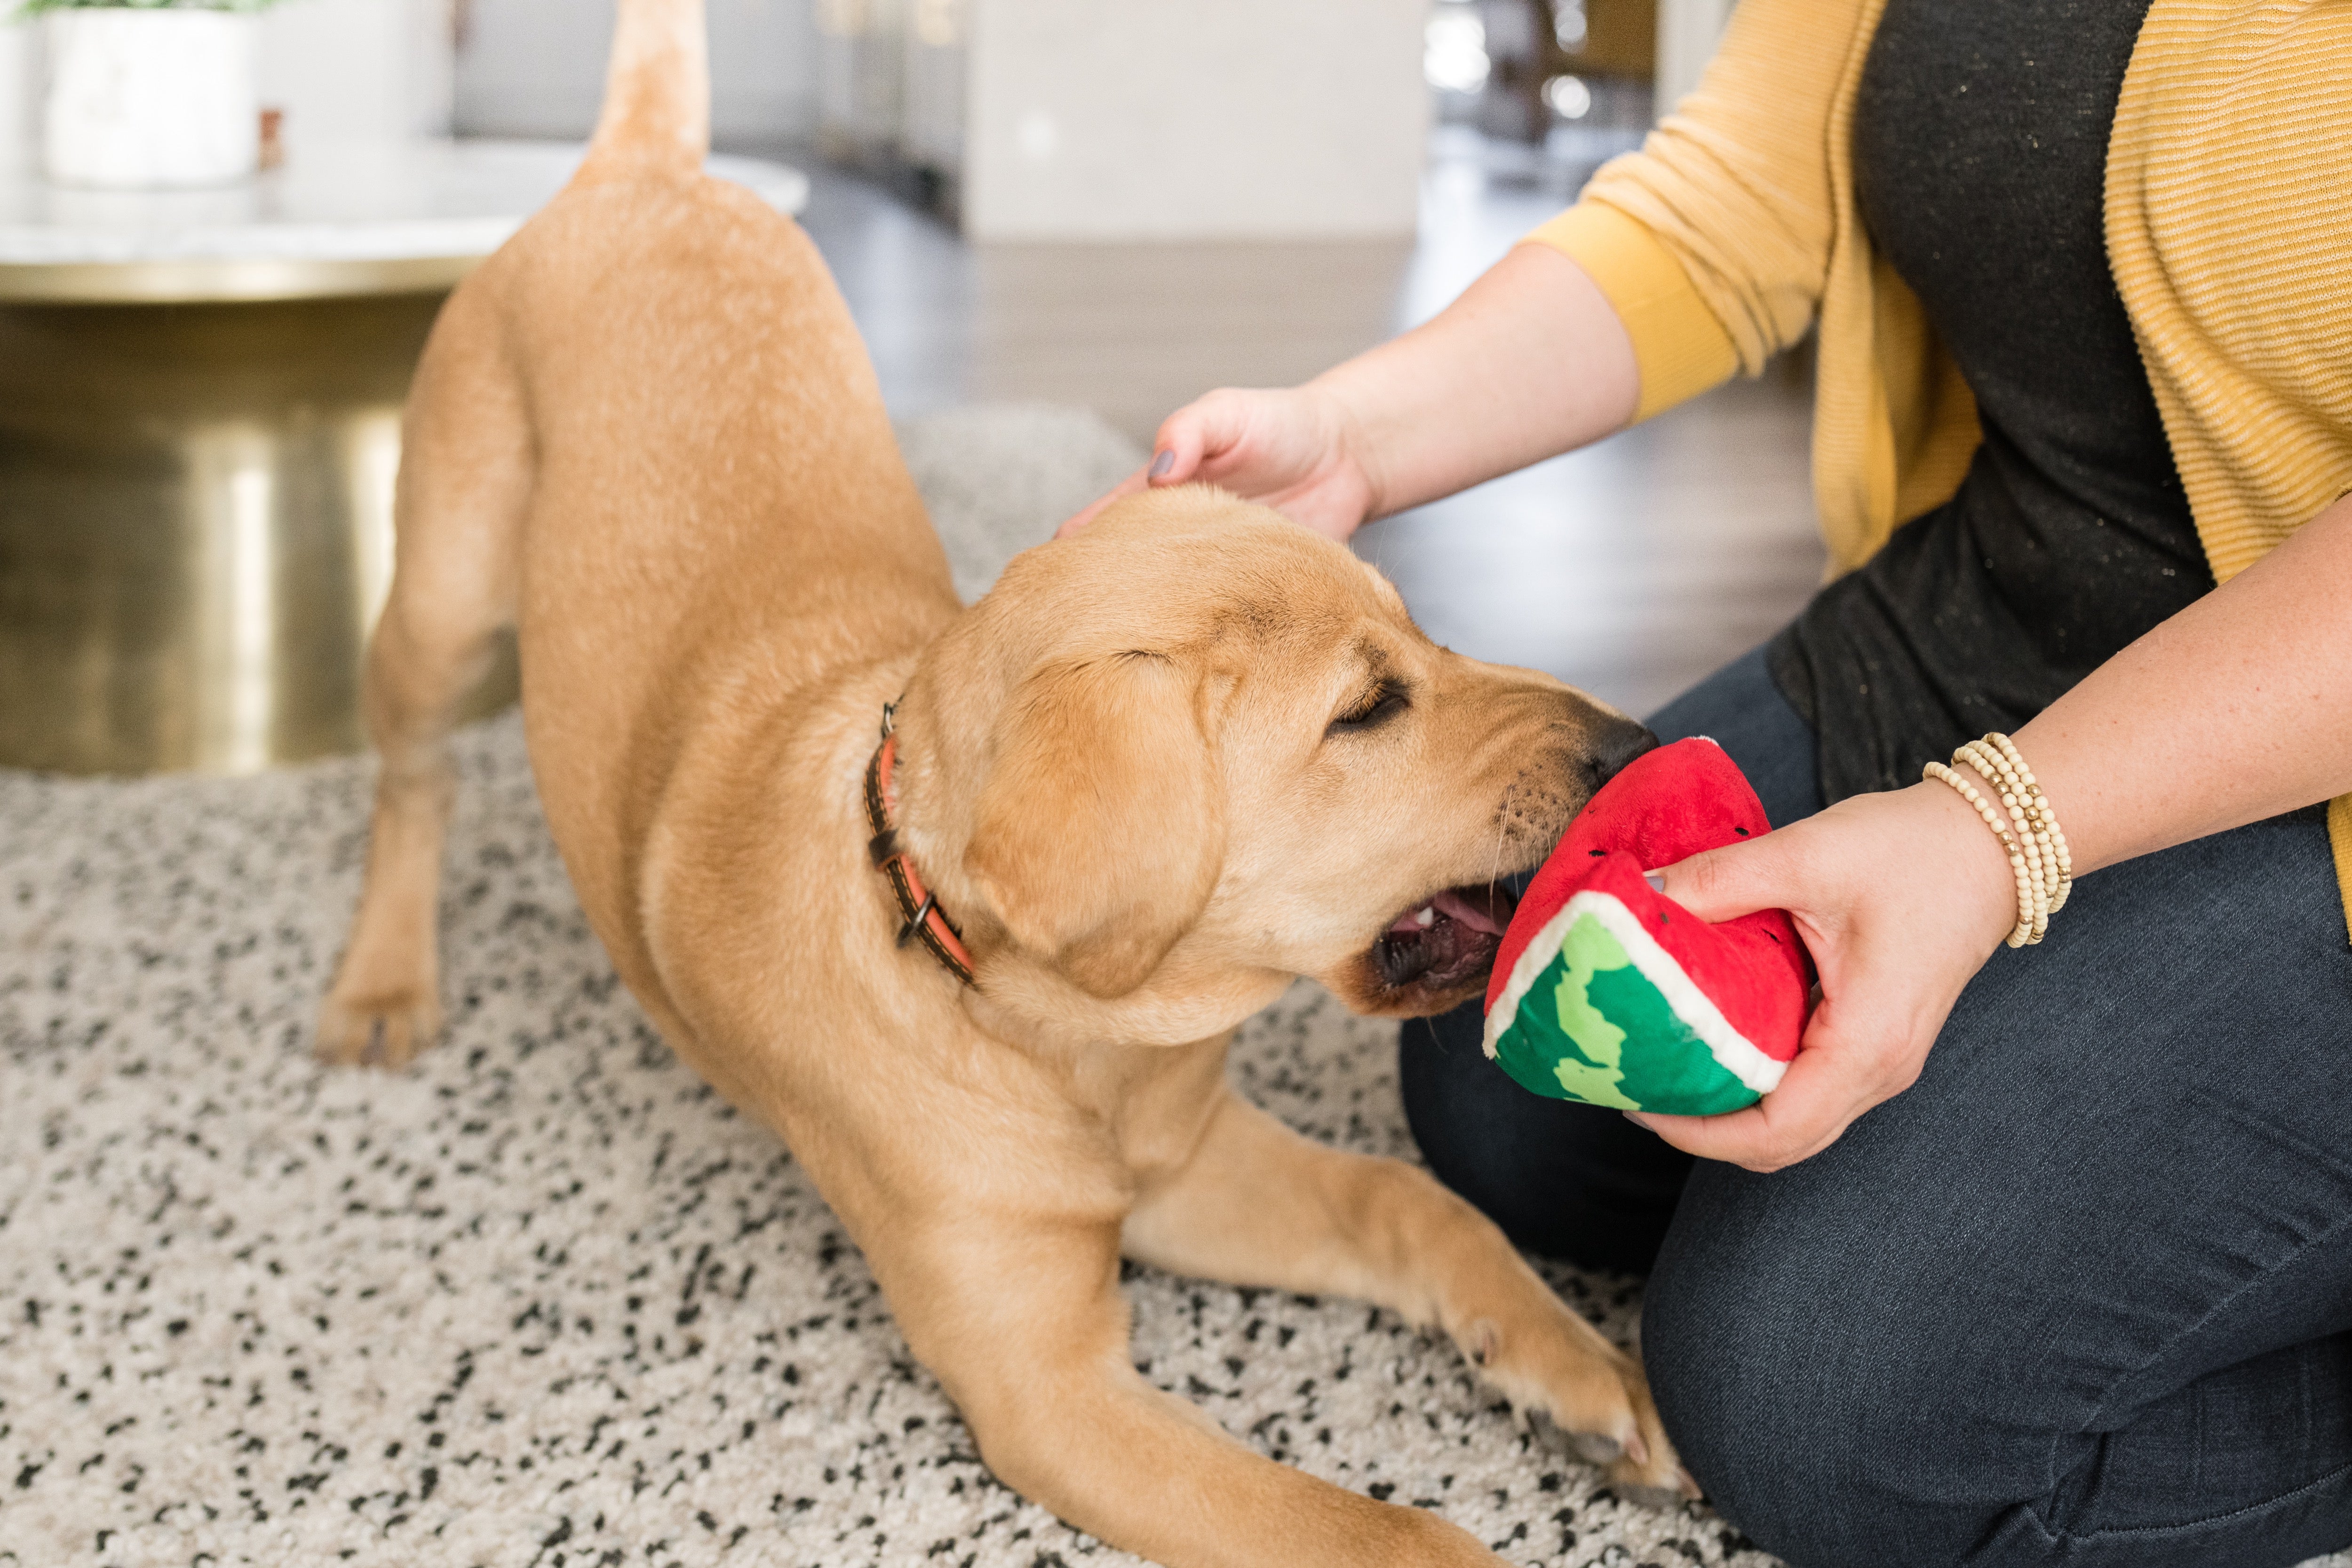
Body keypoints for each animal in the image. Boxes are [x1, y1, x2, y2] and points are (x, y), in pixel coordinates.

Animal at [327, 6, 1693, 1561]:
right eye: (1366, 710)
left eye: (1427, 634)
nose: (1630, 746)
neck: (1066, 1037)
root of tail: (643, 167)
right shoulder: (1052, 1390)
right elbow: (1384, 1532)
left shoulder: (1197, 1168)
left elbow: (1416, 1203)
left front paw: (1576, 1365)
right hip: (438, 602)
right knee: (413, 783)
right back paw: (383, 978)